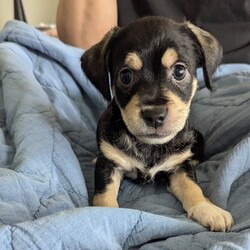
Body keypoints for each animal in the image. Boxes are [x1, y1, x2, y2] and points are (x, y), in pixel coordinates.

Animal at [81, 16, 233, 232]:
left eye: (179, 71)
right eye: (125, 76)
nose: (154, 115)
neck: (149, 147)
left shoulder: (179, 168)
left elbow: (192, 187)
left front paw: (208, 209)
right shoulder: (108, 166)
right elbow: (103, 195)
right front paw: (105, 215)